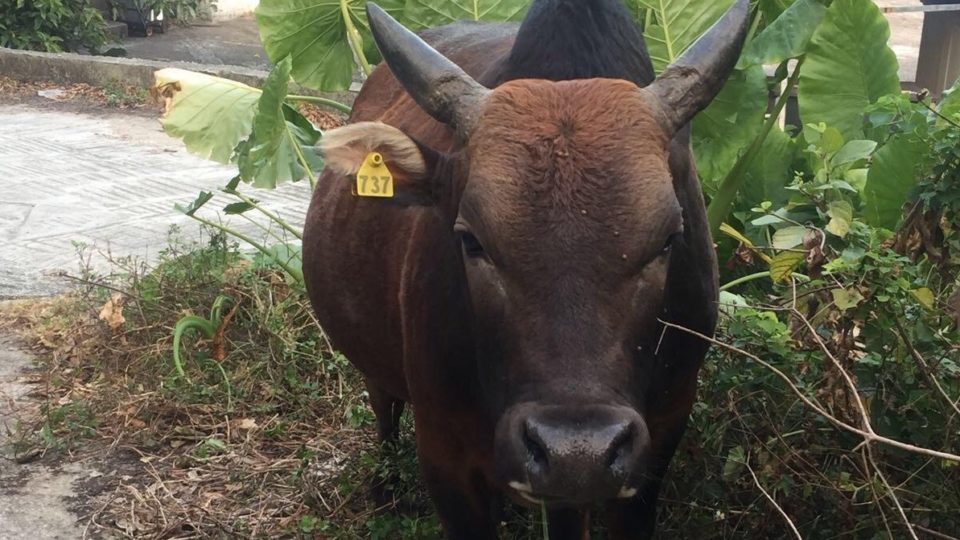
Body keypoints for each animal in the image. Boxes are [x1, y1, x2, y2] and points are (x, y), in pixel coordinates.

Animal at [302, 2, 752, 536]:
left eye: (668, 239)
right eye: (470, 239)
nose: (577, 451)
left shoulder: (658, 445)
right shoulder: (445, 456)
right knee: (384, 405)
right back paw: (385, 486)